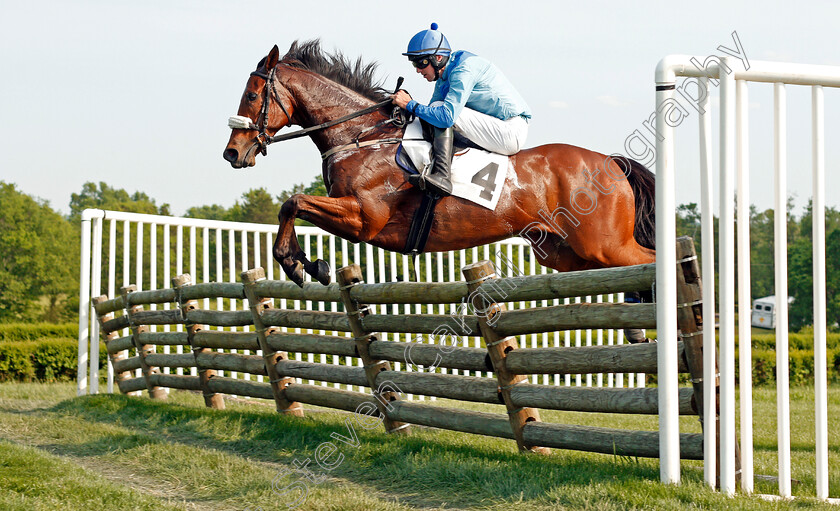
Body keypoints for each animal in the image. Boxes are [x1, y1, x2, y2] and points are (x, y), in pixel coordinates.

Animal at [223, 41, 656, 288]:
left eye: (252, 94)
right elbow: (291, 207)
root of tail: (613, 163)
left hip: (606, 246)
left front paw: (299, 265)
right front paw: (307, 265)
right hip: (565, 253)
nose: (232, 153)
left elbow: (293, 202)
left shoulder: (364, 218)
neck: (360, 135)